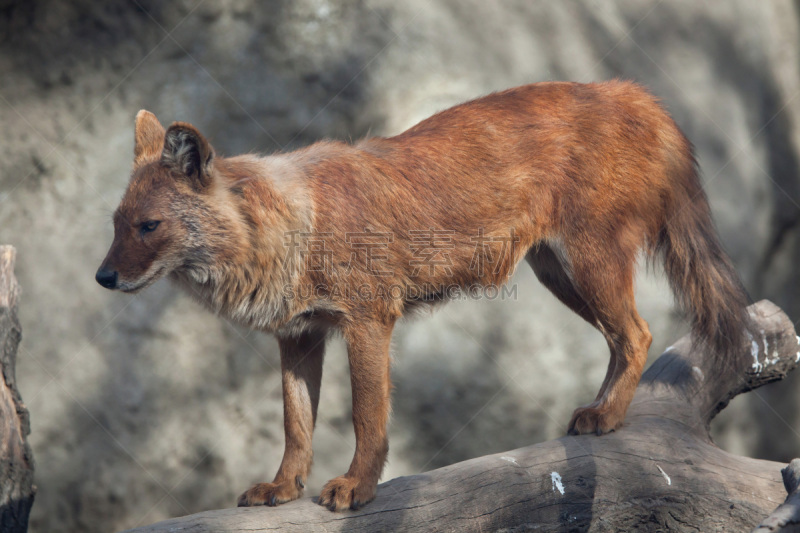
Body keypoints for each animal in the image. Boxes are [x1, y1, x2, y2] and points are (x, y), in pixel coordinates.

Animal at [95, 82, 752, 512]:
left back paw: (608, 418)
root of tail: (634, 92)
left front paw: (356, 489)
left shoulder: (367, 321)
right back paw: (595, 414)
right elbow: (295, 424)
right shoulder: (300, 336)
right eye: (116, 224)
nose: (102, 278)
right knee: (621, 339)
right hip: (558, 274)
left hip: (589, 264)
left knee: (639, 333)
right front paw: (282, 489)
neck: (291, 227)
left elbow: (368, 416)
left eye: (149, 227)